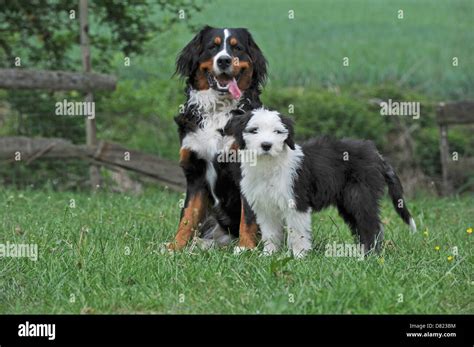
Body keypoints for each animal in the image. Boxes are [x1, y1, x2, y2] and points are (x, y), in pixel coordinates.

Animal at [168, 25, 268, 251]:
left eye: (237, 48)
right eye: (212, 47)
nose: (224, 60)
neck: (218, 111)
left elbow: (248, 216)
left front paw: (246, 247)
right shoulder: (196, 172)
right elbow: (188, 215)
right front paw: (175, 247)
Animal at [225, 109, 414, 258]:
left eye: (277, 132)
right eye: (254, 130)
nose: (266, 145)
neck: (270, 164)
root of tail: (376, 155)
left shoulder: (296, 202)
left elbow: (298, 232)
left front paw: (299, 256)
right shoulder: (265, 207)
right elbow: (270, 233)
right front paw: (268, 255)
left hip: (360, 195)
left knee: (370, 224)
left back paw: (368, 255)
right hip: (348, 202)